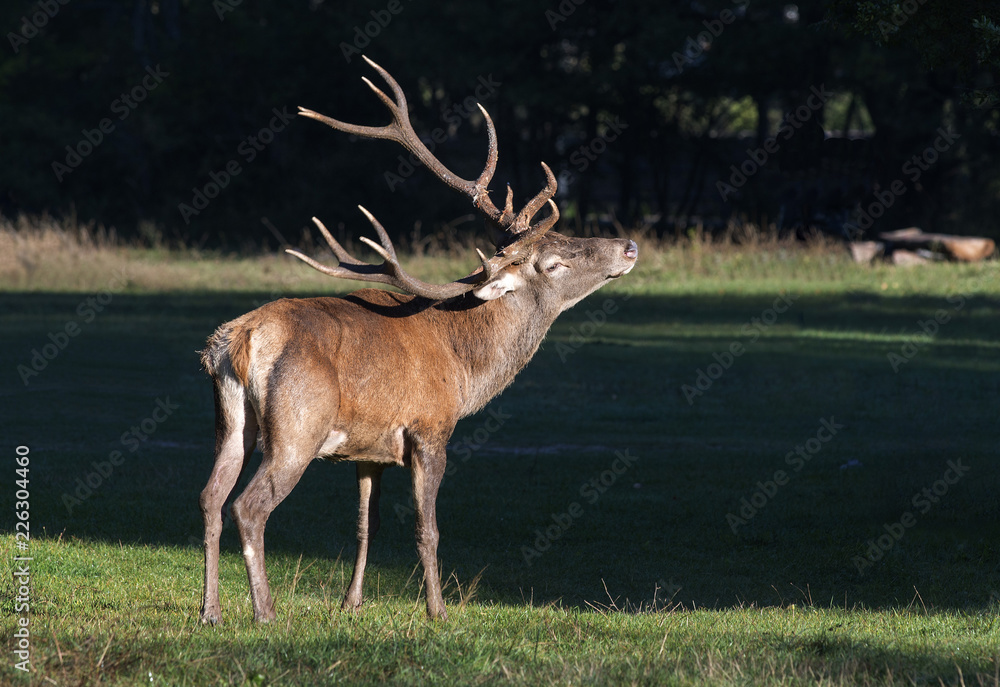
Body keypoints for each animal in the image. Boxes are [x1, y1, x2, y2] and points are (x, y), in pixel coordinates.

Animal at [198, 56, 637, 624]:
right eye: (555, 263)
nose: (628, 246)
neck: (466, 368)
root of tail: (241, 341)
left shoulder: (368, 447)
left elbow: (366, 524)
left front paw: (352, 602)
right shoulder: (430, 427)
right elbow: (427, 529)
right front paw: (438, 610)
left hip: (231, 421)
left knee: (210, 497)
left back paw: (209, 612)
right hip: (298, 425)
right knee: (248, 507)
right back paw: (265, 613)